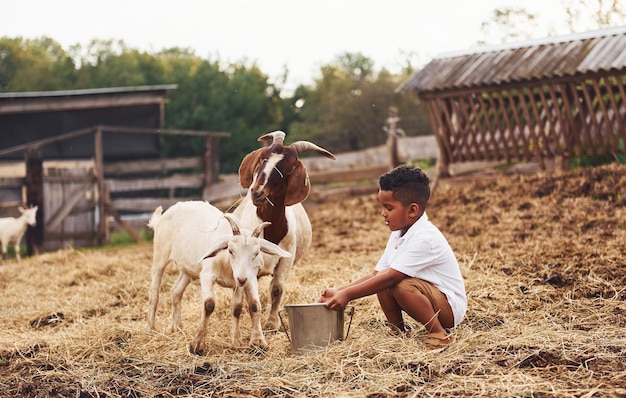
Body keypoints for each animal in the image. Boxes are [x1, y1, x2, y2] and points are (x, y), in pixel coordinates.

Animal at [146, 202, 290, 354]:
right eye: (230, 250)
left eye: (256, 253)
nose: (242, 279)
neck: (227, 263)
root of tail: (163, 216)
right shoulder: (207, 274)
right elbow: (209, 304)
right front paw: (197, 345)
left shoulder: (245, 279)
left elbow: (247, 306)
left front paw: (250, 342)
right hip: (160, 255)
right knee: (154, 292)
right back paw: (151, 328)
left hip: (188, 269)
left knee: (176, 291)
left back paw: (177, 328)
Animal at [232, 131, 334, 330]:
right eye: (263, 159)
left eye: (289, 169)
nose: (257, 192)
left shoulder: (287, 258)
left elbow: (277, 288)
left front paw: (272, 323)